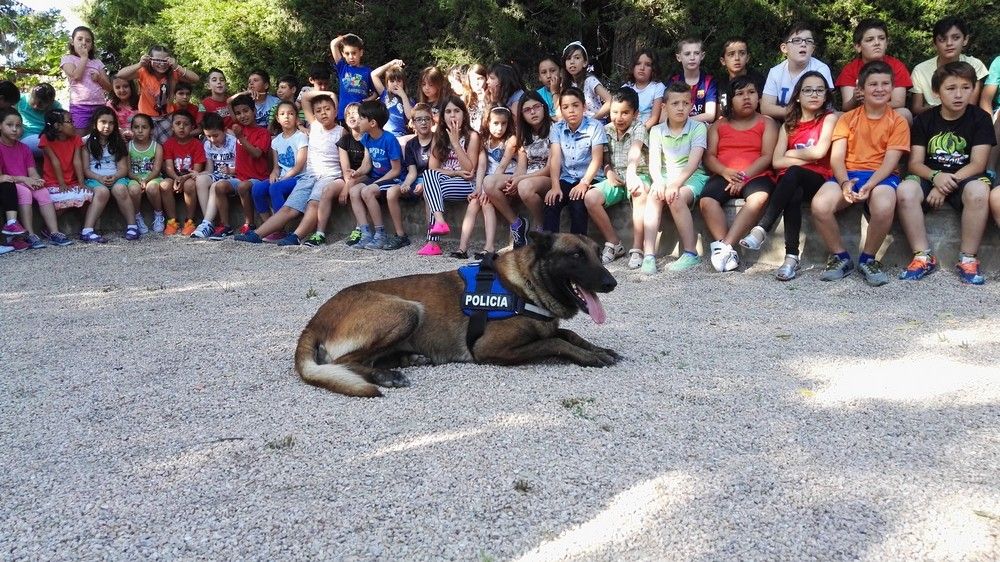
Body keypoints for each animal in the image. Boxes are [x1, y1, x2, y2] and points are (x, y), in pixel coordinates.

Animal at [292, 230, 616, 396]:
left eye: (599, 254)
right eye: (576, 255)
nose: (611, 283)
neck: (524, 285)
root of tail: (314, 320)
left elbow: (567, 333)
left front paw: (598, 348)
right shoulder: (490, 348)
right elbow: (556, 342)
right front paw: (589, 356)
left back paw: (408, 359)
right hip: (407, 310)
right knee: (346, 362)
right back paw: (385, 375)